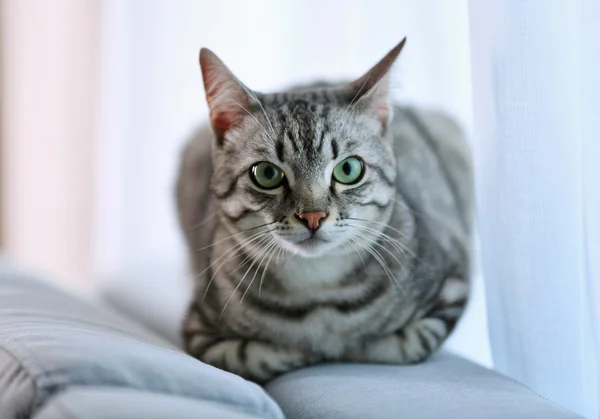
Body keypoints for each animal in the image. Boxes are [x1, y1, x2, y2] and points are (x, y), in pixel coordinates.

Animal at [177, 39, 474, 384]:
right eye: (266, 173)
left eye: (349, 169)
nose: (313, 216)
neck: (318, 295)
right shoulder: (199, 328)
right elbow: (252, 356)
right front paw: (306, 351)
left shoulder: (452, 287)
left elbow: (400, 344)